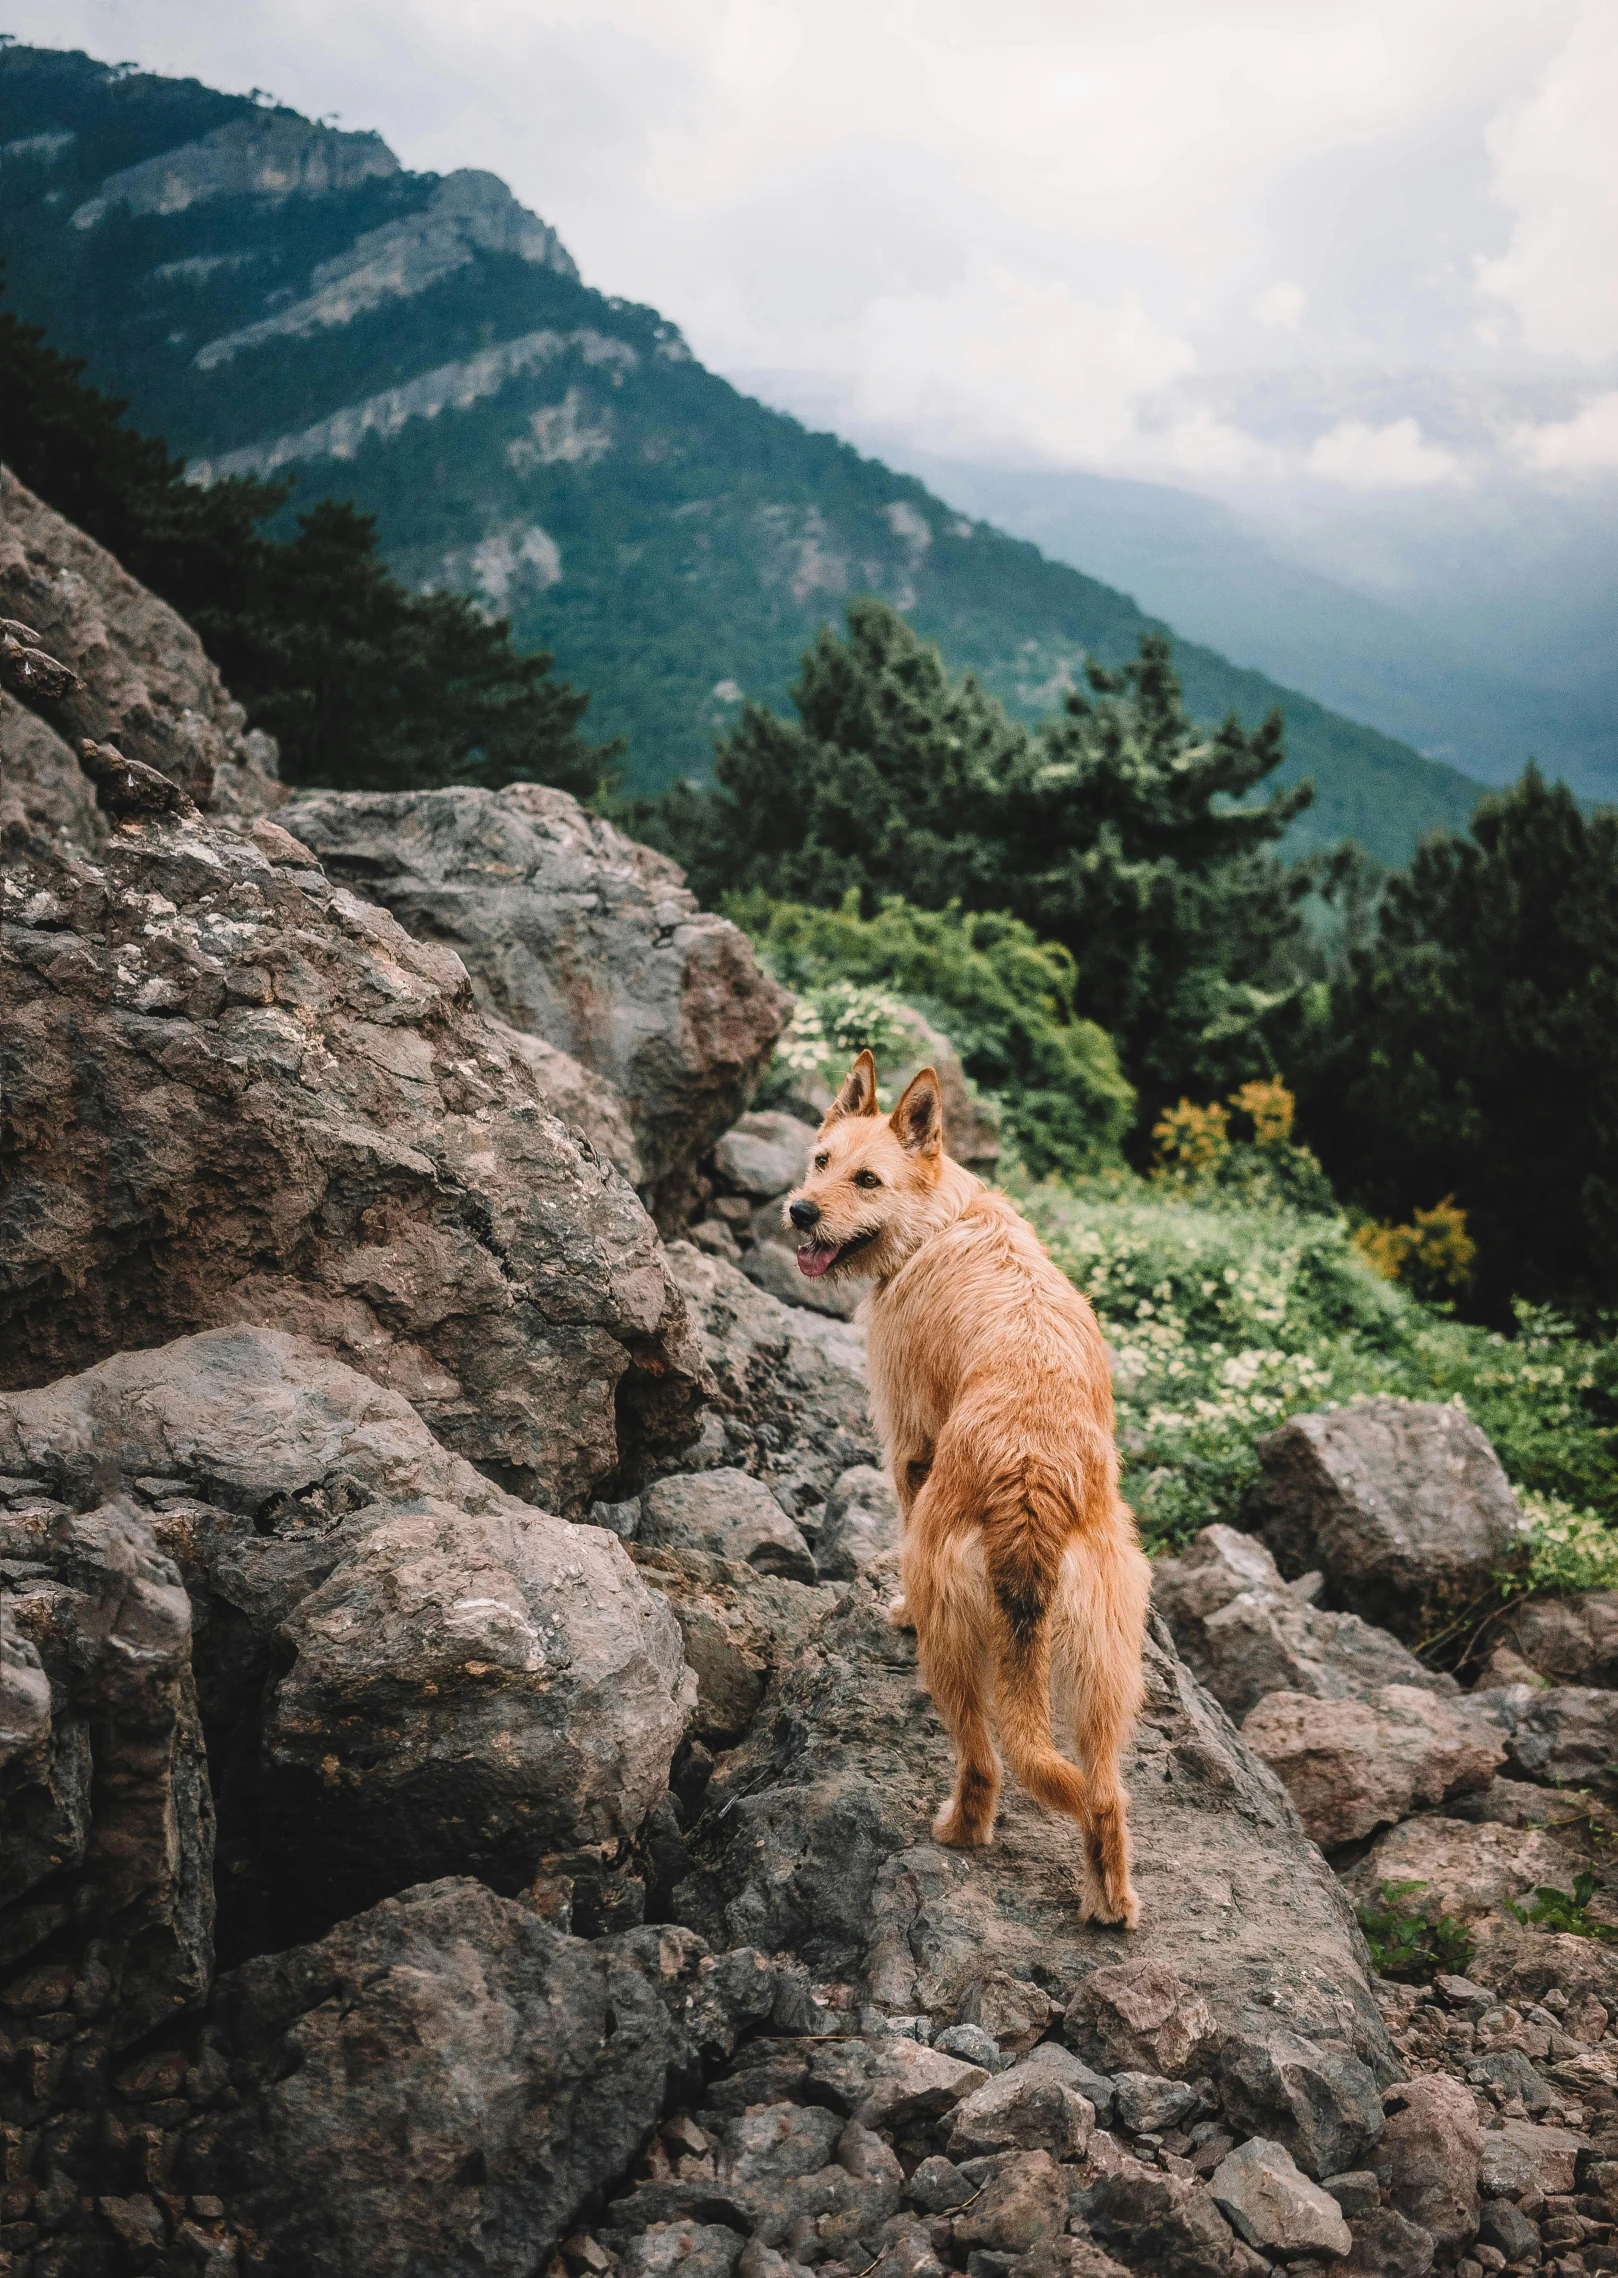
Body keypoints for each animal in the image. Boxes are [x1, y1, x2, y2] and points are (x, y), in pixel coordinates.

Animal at [788, 1047, 1153, 1922]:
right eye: (820, 1160)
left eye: (868, 1180)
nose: (799, 1213)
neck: (937, 1222)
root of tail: (1033, 1483)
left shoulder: (909, 1445)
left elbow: (898, 1509)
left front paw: (893, 1609)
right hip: (1106, 1663)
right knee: (1104, 1793)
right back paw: (1110, 1902)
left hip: (955, 1637)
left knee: (984, 1761)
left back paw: (959, 1828)